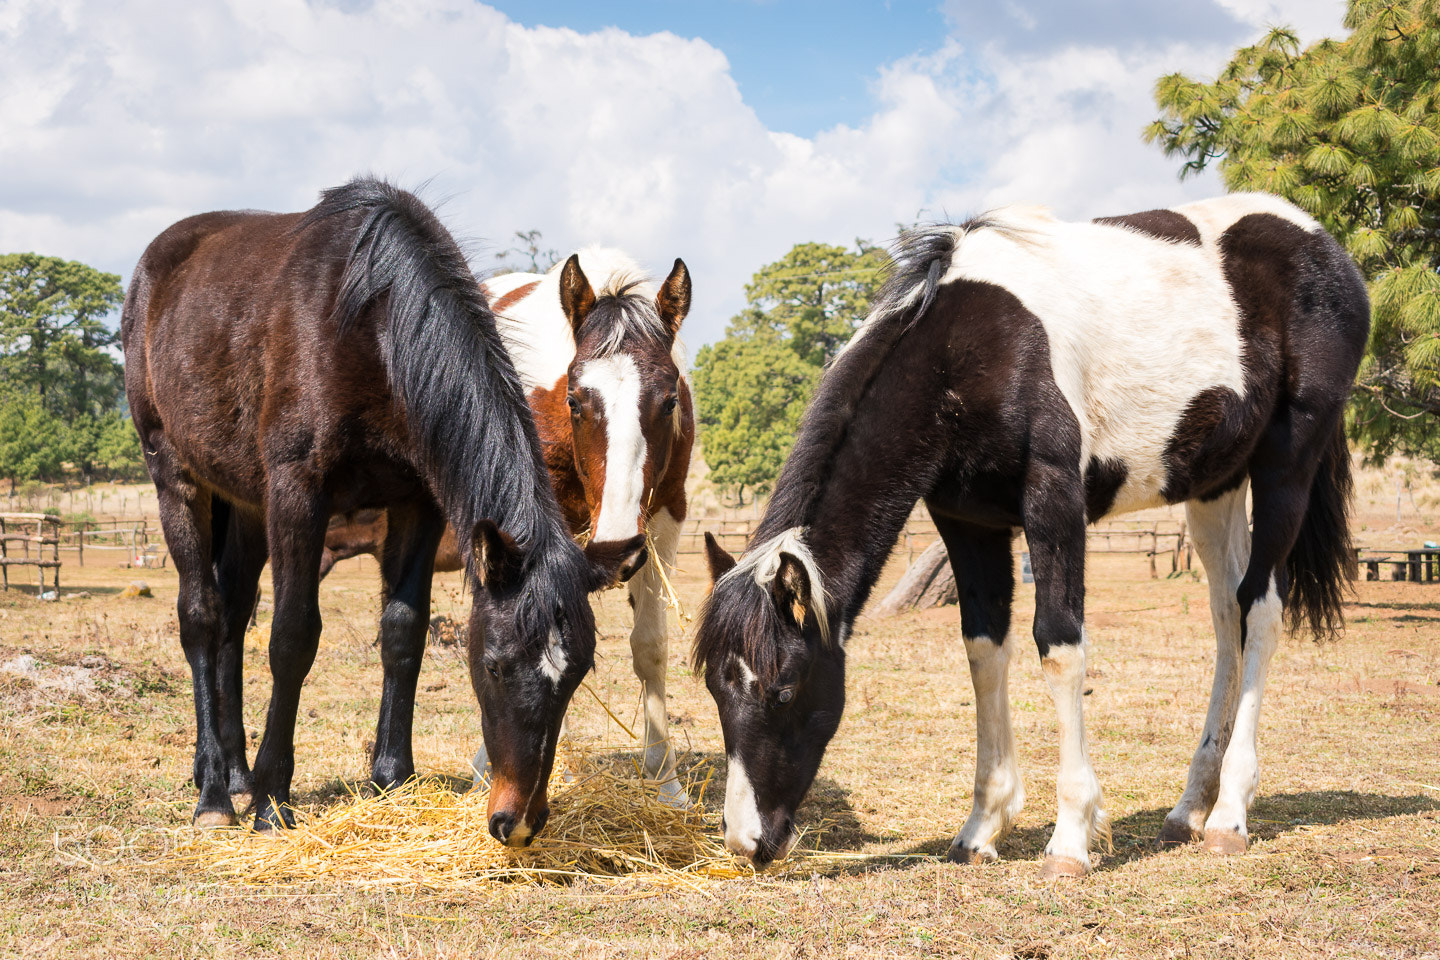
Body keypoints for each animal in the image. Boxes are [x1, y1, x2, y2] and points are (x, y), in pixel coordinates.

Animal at [121, 177, 643, 845]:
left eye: (575, 676)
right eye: (496, 667)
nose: (520, 822)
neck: (370, 327)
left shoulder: (417, 504)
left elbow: (403, 632)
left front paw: (392, 779)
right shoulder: (298, 494)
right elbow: (292, 638)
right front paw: (273, 801)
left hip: (244, 502)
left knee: (235, 614)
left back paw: (235, 772)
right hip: (177, 477)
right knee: (203, 617)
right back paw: (216, 791)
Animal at [694, 194, 1369, 876]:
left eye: (783, 691)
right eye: (716, 691)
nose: (748, 843)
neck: (970, 349)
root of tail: (1323, 244)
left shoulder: (1054, 503)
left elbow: (1059, 645)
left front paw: (1070, 839)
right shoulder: (969, 524)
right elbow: (984, 650)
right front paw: (981, 829)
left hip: (1287, 464)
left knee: (1261, 607)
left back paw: (1229, 814)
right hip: (1215, 485)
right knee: (1226, 615)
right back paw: (1188, 809)